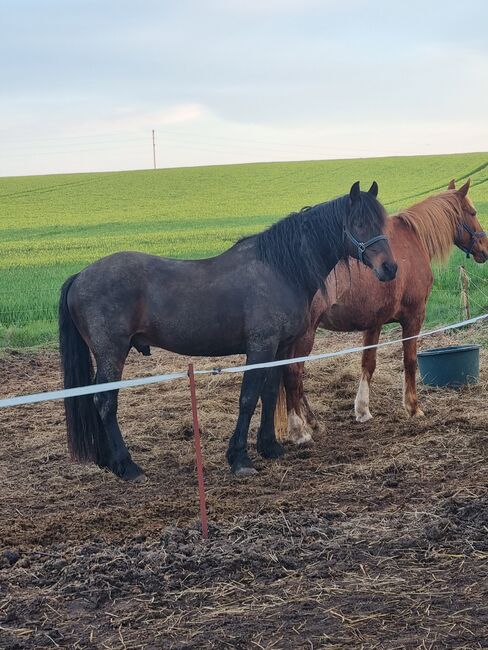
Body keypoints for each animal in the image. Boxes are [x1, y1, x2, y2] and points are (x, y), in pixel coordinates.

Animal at [280, 177, 486, 442]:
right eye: (473, 212)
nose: (485, 248)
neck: (413, 240)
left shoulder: (374, 323)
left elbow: (368, 363)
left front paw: (362, 410)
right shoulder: (414, 317)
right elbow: (409, 360)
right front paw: (413, 407)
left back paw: (313, 424)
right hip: (305, 334)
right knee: (293, 374)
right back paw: (300, 429)